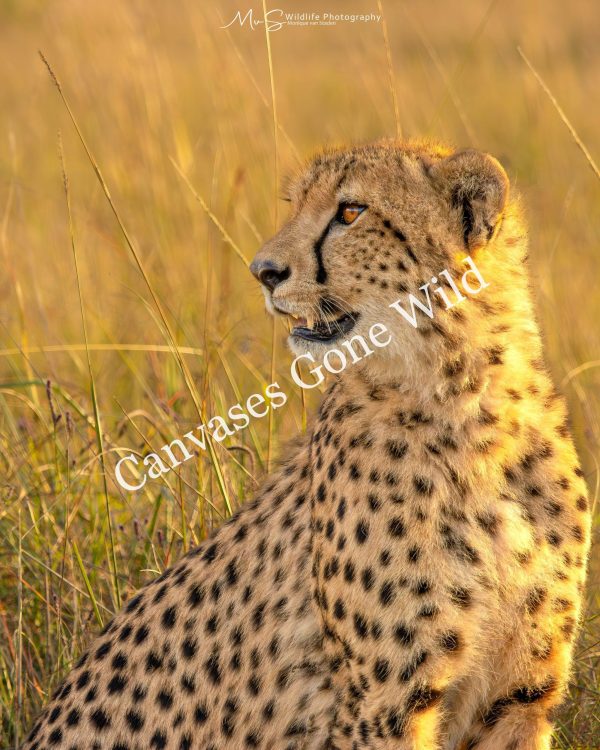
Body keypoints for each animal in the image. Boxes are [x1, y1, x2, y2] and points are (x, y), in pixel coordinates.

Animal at [21, 139, 591, 750]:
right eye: (295, 205)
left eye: (351, 212)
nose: (263, 272)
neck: (470, 406)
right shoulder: (384, 708)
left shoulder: (521, 697)